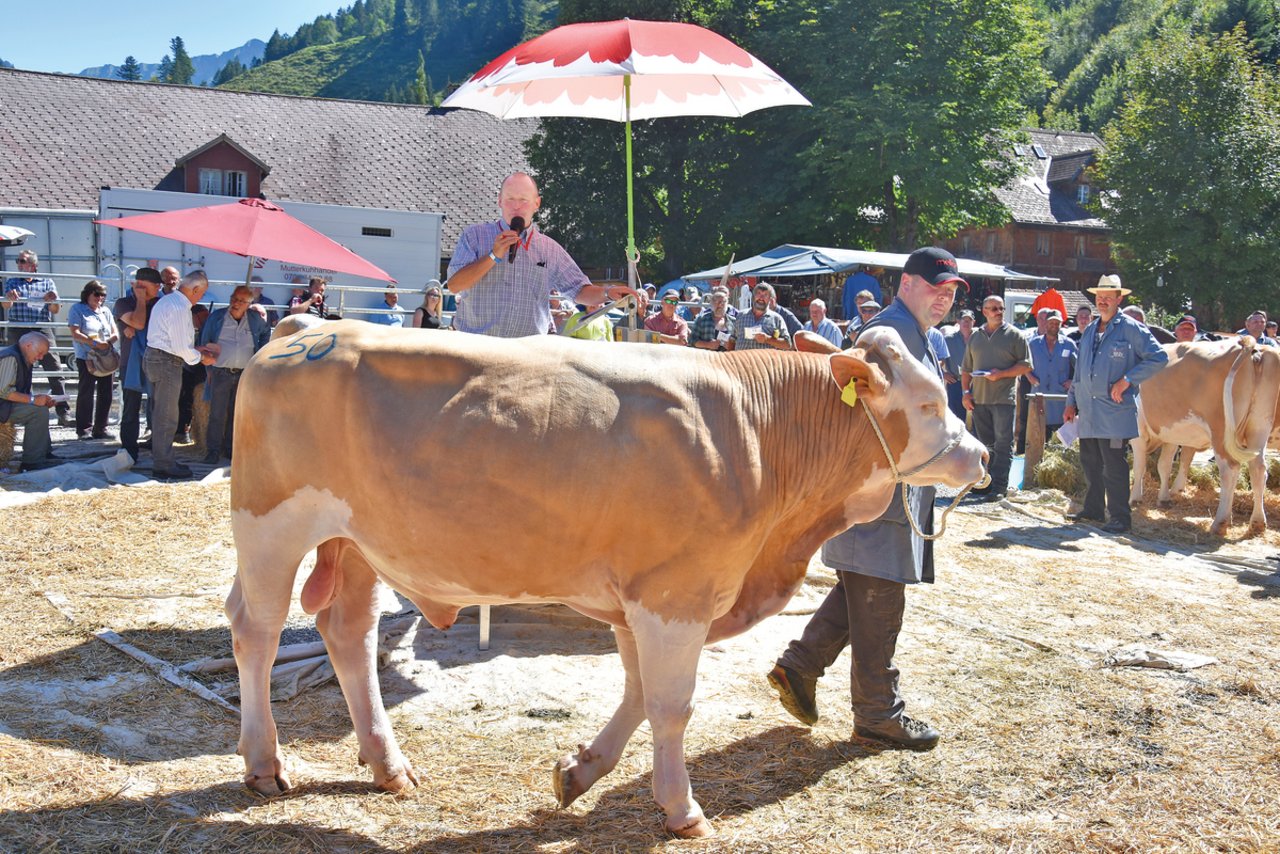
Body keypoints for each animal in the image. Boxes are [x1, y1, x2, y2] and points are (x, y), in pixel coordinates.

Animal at [227, 318, 988, 834]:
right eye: (928, 402)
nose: (981, 455)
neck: (758, 429)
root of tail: (308, 327)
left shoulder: (640, 595)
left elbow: (638, 691)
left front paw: (580, 771)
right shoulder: (676, 593)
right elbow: (671, 704)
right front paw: (682, 808)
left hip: (357, 543)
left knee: (347, 633)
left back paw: (389, 766)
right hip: (270, 527)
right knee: (256, 631)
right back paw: (264, 763)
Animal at [1131, 338, 1280, 535]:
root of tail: (1254, 347)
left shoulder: (1138, 432)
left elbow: (1139, 466)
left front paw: (1134, 498)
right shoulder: (1171, 434)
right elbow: (1164, 466)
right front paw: (1164, 498)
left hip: (1221, 430)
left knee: (1230, 469)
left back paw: (1220, 522)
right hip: (1259, 426)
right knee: (1258, 470)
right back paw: (1257, 522)